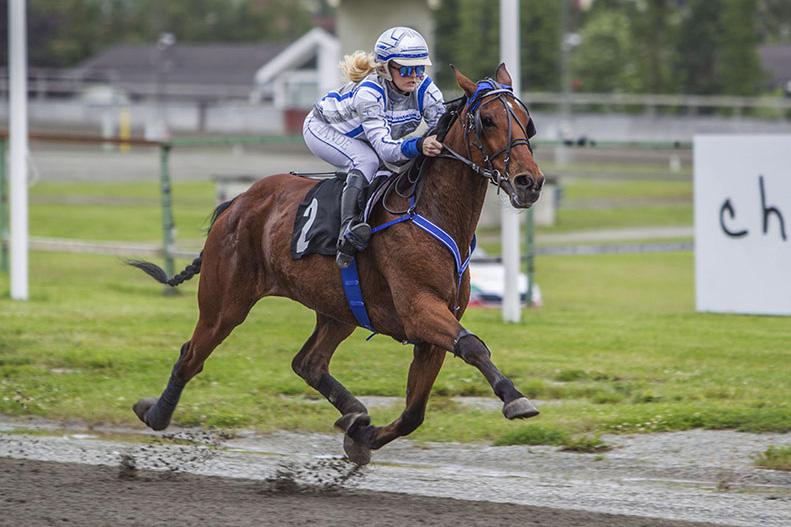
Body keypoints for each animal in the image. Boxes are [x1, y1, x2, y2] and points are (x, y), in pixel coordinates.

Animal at [130, 63, 548, 466]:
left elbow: (414, 412)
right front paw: (514, 397)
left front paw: (362, 436)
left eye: (526, 120)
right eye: (487, 120)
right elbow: (473, 346)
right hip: (224, 304)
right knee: (191, 355)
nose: (529, 182)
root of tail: (236, 203)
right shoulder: (419, 310)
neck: (431, 212)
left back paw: (355, 412)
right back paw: (156, 414)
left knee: (308, 363)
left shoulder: (433, 332)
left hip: (338, 309)